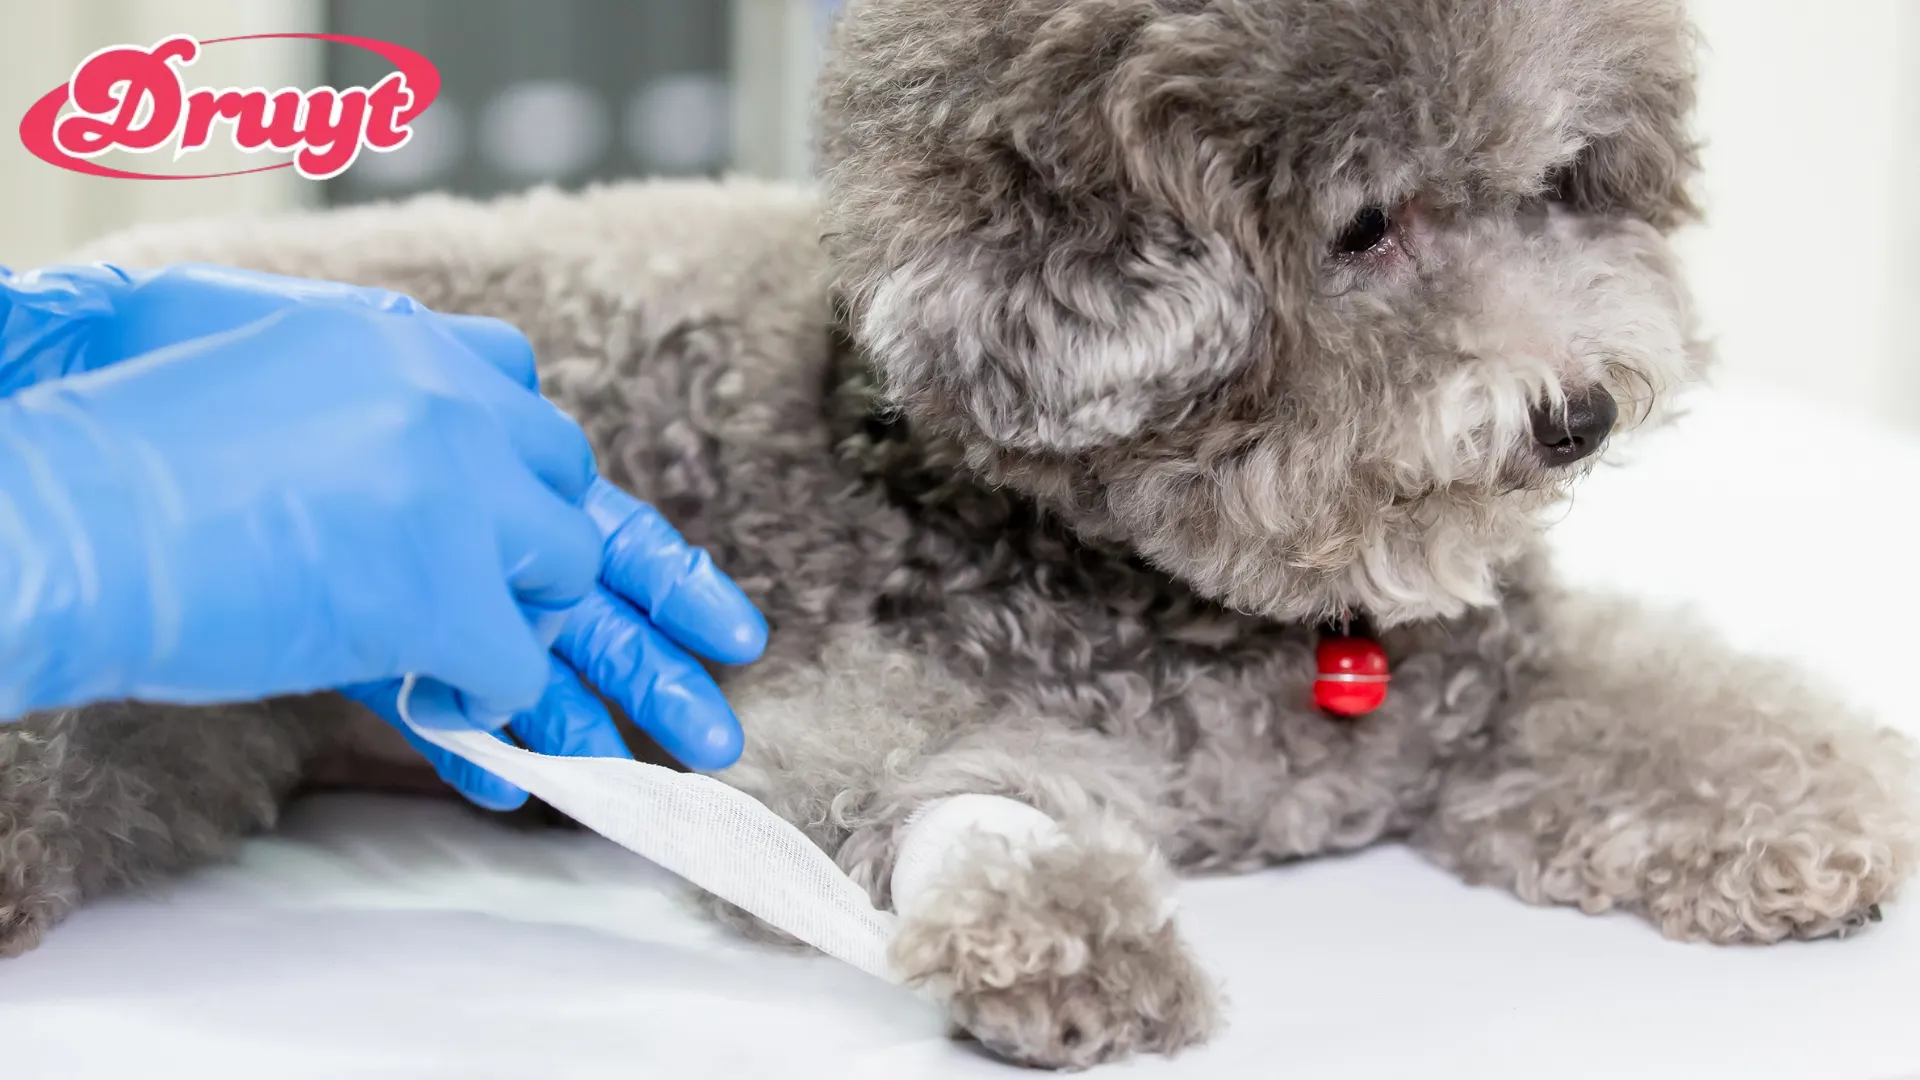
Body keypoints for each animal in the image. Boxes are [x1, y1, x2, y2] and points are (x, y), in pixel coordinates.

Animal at [3, 0, 1920, 1060]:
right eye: (1369, 225)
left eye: (1560, 184)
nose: (1577, 410)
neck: (1254, 617)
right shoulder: (836, 717)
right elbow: (934, 797)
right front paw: (1056, 927)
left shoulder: (1487, 675)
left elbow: (1670, 698)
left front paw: (1800, 811)